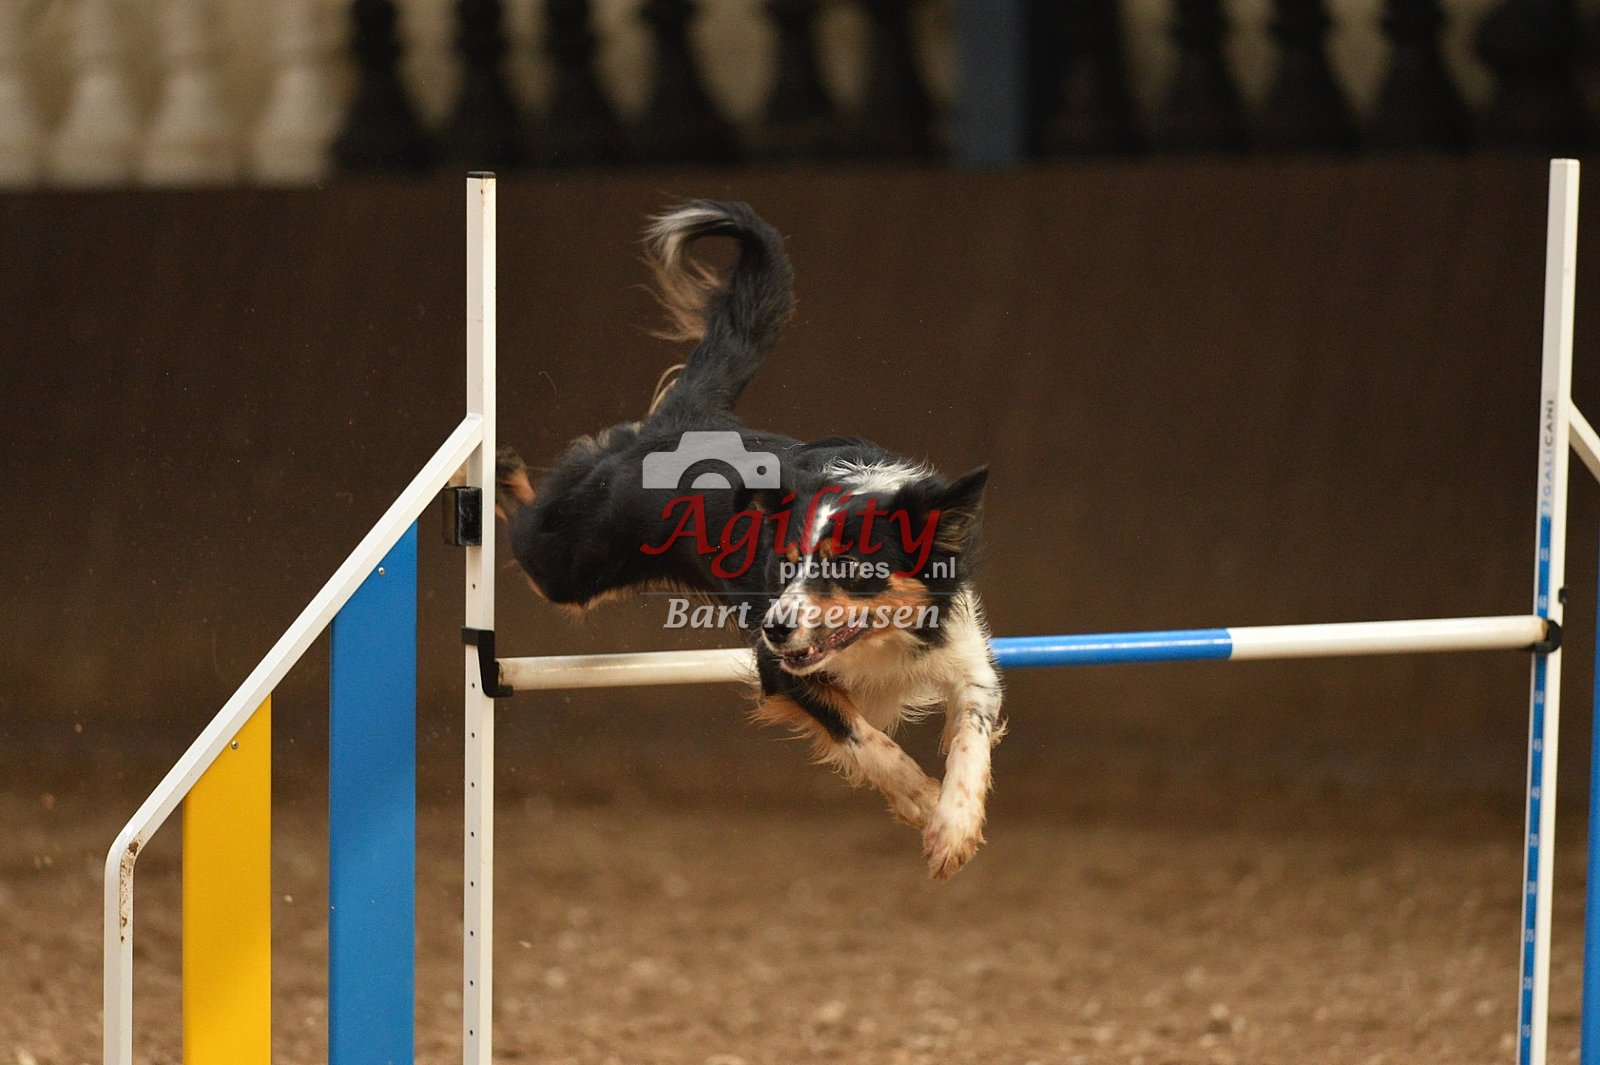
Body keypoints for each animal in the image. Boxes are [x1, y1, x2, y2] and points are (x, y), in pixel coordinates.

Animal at [496, 201, 1004, 880]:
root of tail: (678, 422)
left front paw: (954, 827)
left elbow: (971, 737)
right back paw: (491, 474)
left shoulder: (965, 657)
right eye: (784, 565)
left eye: (849, 569)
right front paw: (920, 799)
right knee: (531, 510)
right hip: (572, 562)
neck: (880, 643)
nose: (777, 627)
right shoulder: (778, 668)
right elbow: (865, 737)